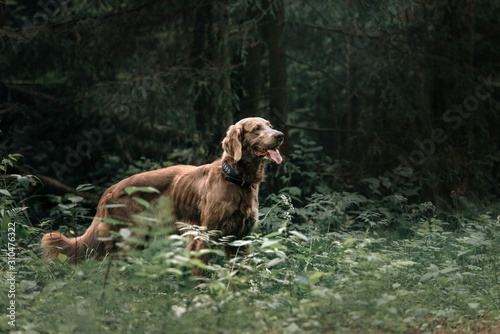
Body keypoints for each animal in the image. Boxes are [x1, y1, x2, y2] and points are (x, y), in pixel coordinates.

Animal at [41, 117, 284, 276]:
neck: (236, 180)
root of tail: (109, 190)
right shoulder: (202, 238)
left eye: (271, 126)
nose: (280, 136)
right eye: (256, 128)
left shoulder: (241, 240)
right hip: (129, 239)